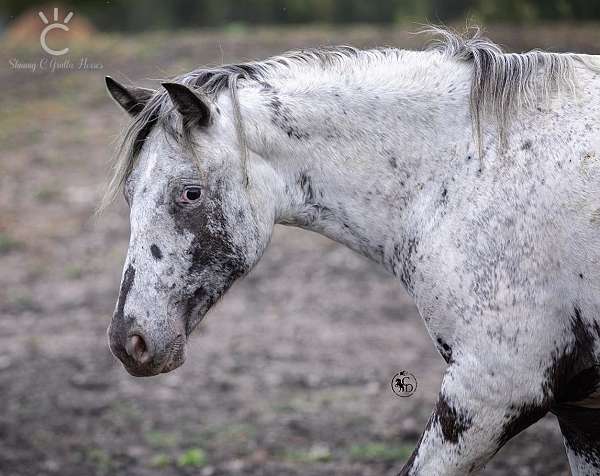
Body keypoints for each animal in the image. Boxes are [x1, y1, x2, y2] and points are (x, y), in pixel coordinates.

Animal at [103, 28, 600, 476]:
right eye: (129, 193)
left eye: (190, 193)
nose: (129, 342)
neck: (473, 166)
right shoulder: (579, 414)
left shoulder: (492, 391)